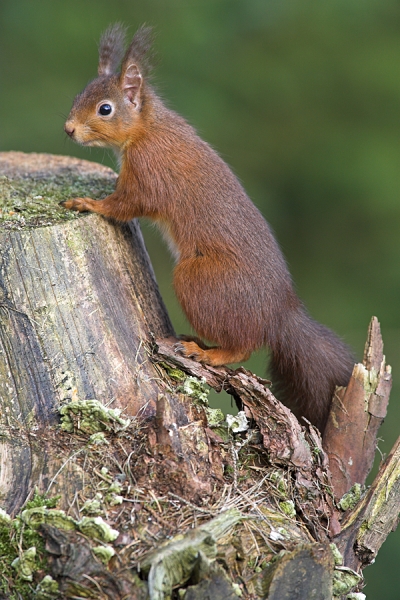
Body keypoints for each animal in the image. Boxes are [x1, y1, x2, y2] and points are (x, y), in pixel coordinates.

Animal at [61, 23, 354, 432]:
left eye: (105, 109)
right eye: (79, 95)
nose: (69, 129)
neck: (148, 128)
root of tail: (279, 315)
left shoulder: (149, 175)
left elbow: (125, 205)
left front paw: (87, 203)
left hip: (201, 281)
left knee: (243, 346)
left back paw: (207, 352)